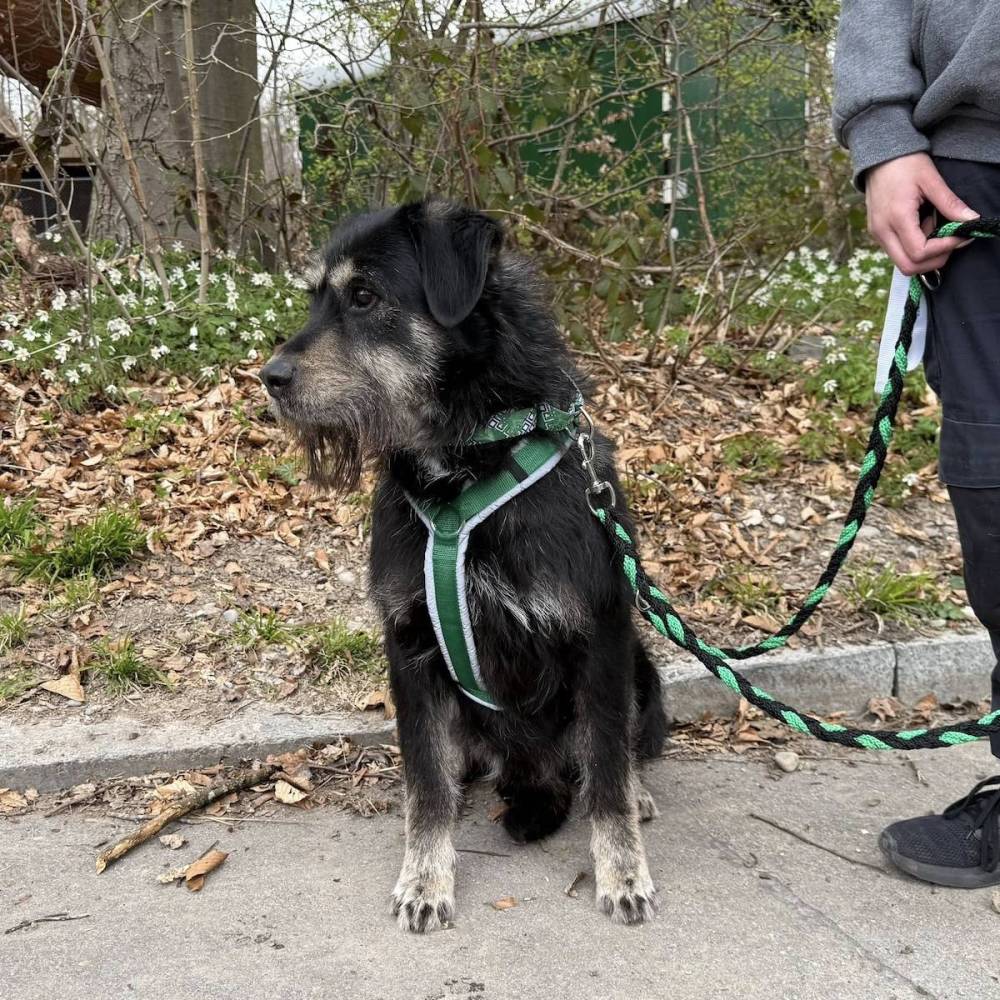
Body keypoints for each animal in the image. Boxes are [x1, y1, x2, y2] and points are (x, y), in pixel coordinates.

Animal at [260, 198, 668, 931]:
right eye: (313, 298)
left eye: (364, 296)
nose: (268, 379)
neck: (466, 458)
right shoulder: (410, 647)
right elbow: (425, 784)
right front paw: (425, 877)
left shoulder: (599, 637)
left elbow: (606, 776)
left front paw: (623, 870)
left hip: (641, 670)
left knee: (612, 755)